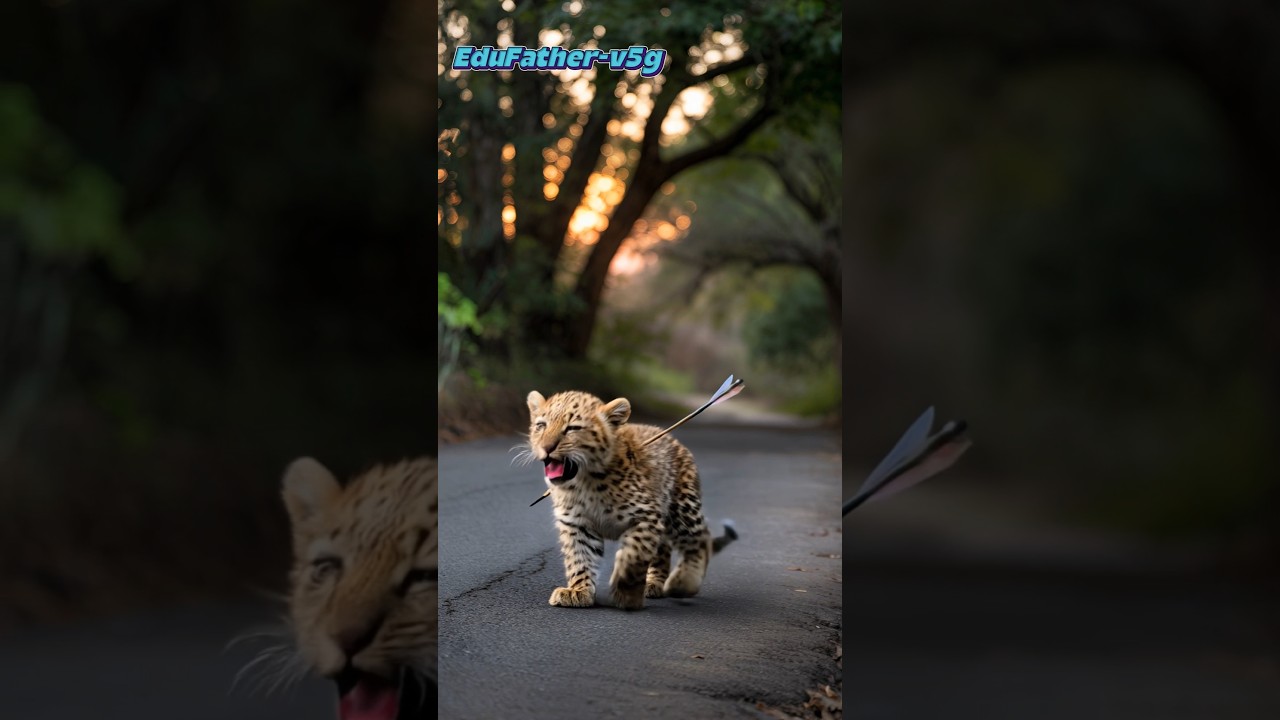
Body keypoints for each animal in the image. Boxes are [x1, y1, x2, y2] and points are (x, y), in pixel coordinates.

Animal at [523, 390, 737, 611]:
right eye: (541, 425)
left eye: (573, 428)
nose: (546, 447)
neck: (584, 483)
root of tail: (672, 439)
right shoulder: (576, 524)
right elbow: (579, 557)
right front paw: (578, 591)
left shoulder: (646, 516)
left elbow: (633, 555)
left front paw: (626, 594)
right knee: (663, 550)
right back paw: (654, 583)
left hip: (682, 509)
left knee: (700, 539)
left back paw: (684, 582)